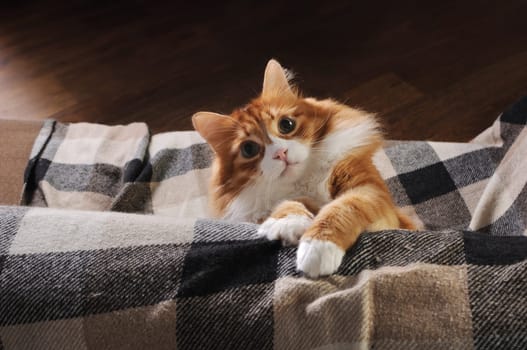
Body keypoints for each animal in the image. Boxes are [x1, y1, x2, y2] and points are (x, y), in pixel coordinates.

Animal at [194, 60, 416, 278]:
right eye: (249, 149)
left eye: (286, 124)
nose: (281, 153)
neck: (304, 180)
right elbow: (289, 203)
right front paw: (288, 223)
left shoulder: (369, 191)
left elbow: (342, 208)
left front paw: (317, 248)